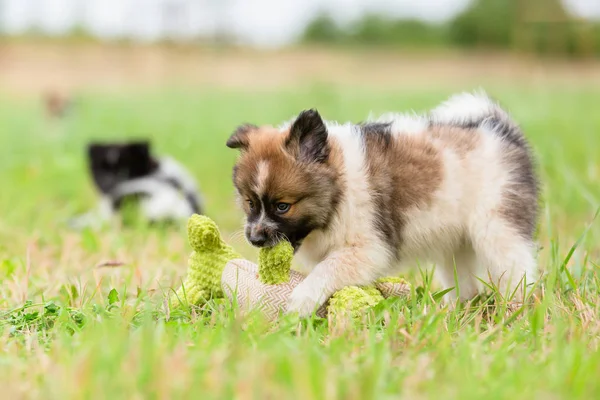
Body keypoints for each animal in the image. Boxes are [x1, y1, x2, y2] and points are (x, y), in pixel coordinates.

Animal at [226, 91, 540, 316]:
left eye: (282, 206)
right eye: (250, 203)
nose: (254, 239)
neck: (340, 191)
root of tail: (504, 133)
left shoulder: (369, 248)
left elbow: (328, 268)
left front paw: (301, 300)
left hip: (497, 229)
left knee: (516, 271)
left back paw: (515, 311)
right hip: (456, 243)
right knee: (463, 278)